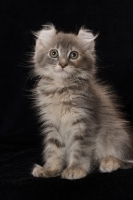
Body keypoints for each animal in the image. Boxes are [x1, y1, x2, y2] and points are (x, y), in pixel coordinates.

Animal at [31, 23, 133, 180]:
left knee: (127, 161)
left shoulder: (85, 122)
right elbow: (54, 150)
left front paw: (76, 169)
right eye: (54, 53)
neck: (61, 89)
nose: (62, 64)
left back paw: (109, 162)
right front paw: (50, 169)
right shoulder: (52, 124)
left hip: (116, 135)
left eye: (73, 55)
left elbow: (80, 149)